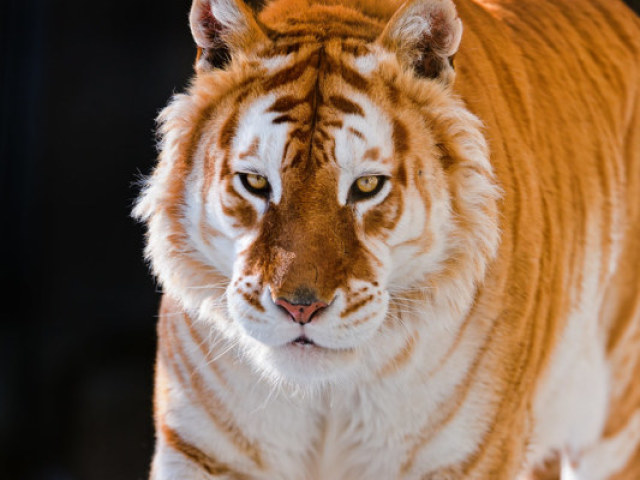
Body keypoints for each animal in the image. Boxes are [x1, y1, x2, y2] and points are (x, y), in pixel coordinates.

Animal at [135, 0, 640, 476]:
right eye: (256, 182)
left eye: (366, 186)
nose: (300, 309)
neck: (326, 395)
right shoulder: (201, 450)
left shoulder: (465, 456)